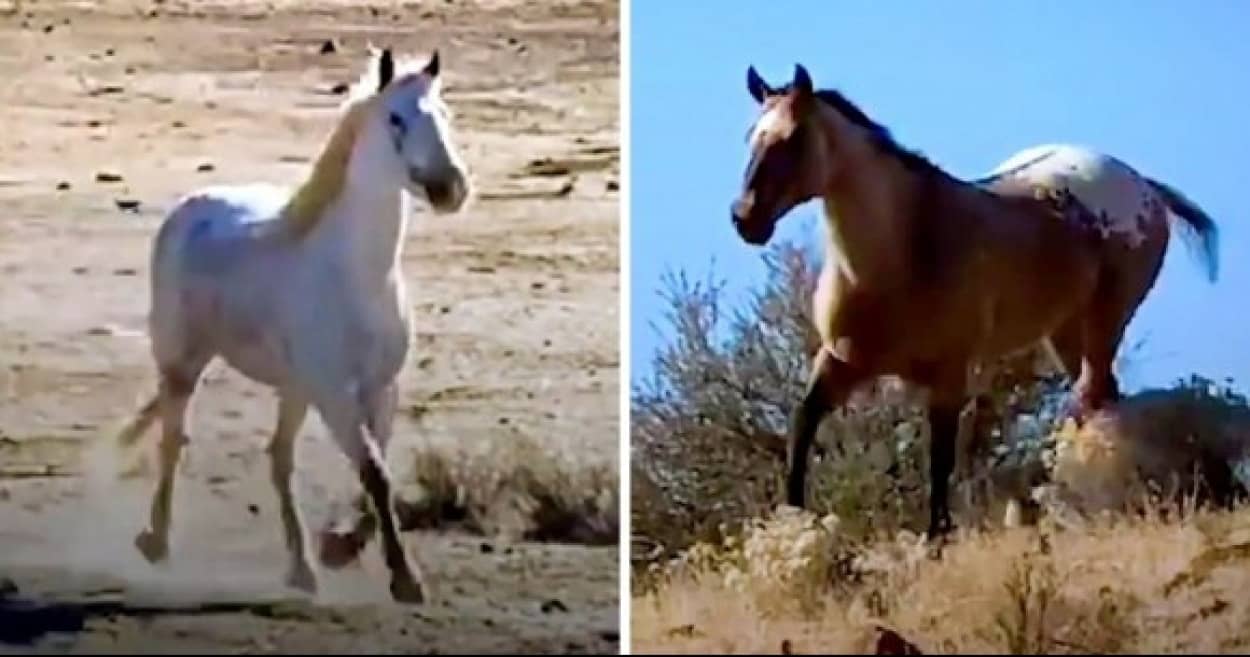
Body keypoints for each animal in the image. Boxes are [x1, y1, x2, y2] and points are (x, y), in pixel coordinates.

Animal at [115, 47, 470, 607]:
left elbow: (378, 473)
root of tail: (191, 206)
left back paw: (301, 569)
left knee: (278, 458)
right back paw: (156, 542)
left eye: (445, 115)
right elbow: (375, 473)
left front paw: (340, 549)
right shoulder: (335, 393)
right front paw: (404, 579)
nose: (449, 189)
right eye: (395, 118)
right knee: (173, 440)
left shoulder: (380, 389)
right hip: (182, 363)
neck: (354, 276)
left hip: (292, 388)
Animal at [730, 63, 1220, 542]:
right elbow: (802, 425)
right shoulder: (840, 362)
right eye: (751, 136)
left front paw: (936, 539)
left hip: (1106, 321)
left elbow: (940, 459)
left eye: (794, 137)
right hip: (1065, 333)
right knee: (1101, 402)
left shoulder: (948, 376)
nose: (745, 218)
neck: (903, 251)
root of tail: (1143, 185)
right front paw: (792, 520)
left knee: (1095, 402)